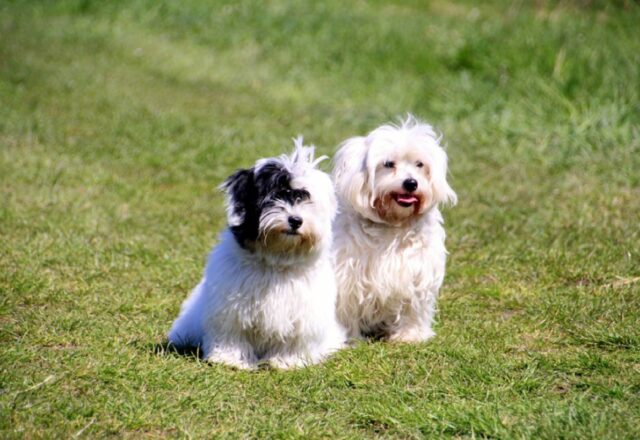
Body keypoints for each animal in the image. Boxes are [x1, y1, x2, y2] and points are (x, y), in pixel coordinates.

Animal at [166, 140, 344, 368]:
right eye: (275, 196)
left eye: (306, 200)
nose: (296, 220)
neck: (276, 260)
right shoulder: (230, 309)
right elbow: (233, 332)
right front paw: (230, 359)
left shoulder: (303, 314)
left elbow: (294, 338)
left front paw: (287, 361)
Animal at [332, 117, 458, 344]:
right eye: (389, 164)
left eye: (420, 164)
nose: (411, 183)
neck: (393, 224)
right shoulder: (348, 275)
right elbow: (348, 307)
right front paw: (348, 337)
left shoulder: (417, 272)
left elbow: (412, 306)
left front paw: (410, 335)